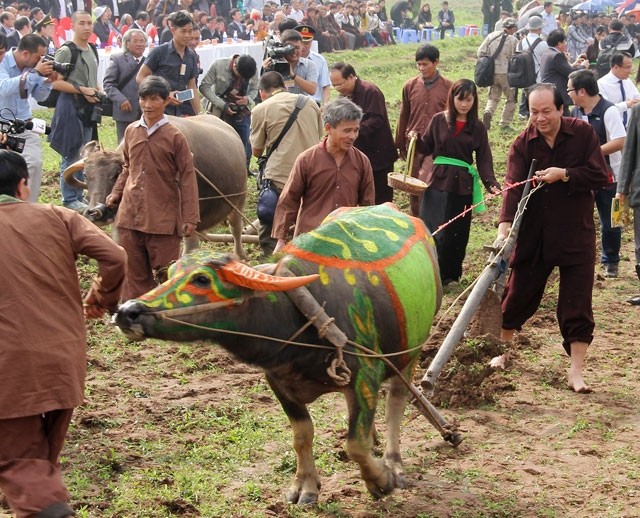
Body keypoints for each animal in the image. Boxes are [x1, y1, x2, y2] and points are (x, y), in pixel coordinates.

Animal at [63, 116, 248, 258]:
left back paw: (240, 255)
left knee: (236, 228)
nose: (94, 212)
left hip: (238, 201)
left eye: (116, 173)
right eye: (86, 174)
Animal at [114, 205, 440, 506]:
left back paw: (394, 464)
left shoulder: (364, 376)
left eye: (202, 279)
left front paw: (380, 480)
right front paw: (305, 487)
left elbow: (355, 444)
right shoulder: (279, 382)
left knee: (396, 402)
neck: (298, 314)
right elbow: (302, 435)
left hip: (411, 353)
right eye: (170, 274)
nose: (127, 311)